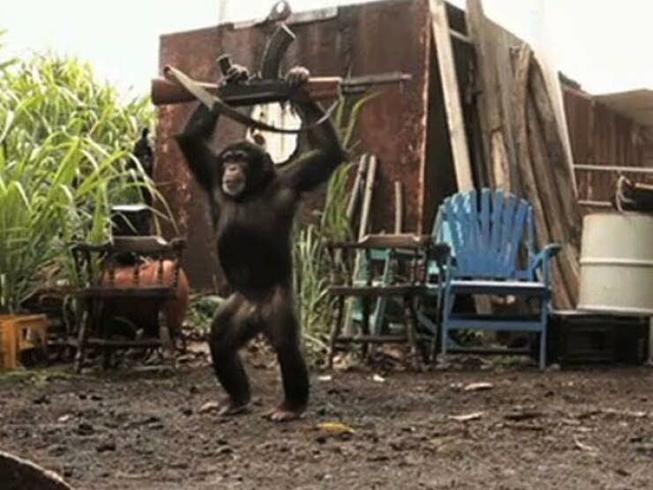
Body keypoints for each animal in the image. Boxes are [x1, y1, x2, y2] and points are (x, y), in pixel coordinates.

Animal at [175, 65, 345, 421]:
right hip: (236, 307)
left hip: (279, 305)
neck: (251, 190)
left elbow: (328, 153)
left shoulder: (295, 178)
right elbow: (191, 140)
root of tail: (256, 312)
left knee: (287, 347)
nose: (231, 167)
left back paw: (291, 406)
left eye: (241, 158)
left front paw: (298, 80)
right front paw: (232, 80)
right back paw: (236, 398)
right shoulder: (210, 174)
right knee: (220, 341)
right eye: (227, 158)